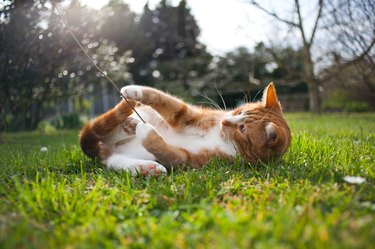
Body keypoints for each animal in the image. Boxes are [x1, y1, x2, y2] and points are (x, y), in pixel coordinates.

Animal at [79, 82, 292, 176]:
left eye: (242, 129)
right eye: (239, 110)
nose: (224, 121)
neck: (220, 136)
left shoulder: (190, 161)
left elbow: (169, 152)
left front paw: (147, 133)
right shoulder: (188, 116)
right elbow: (168, 102)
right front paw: (135, 90)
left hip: (127, 156)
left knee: (114, 161)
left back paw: (145, 167)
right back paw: (128, 124)